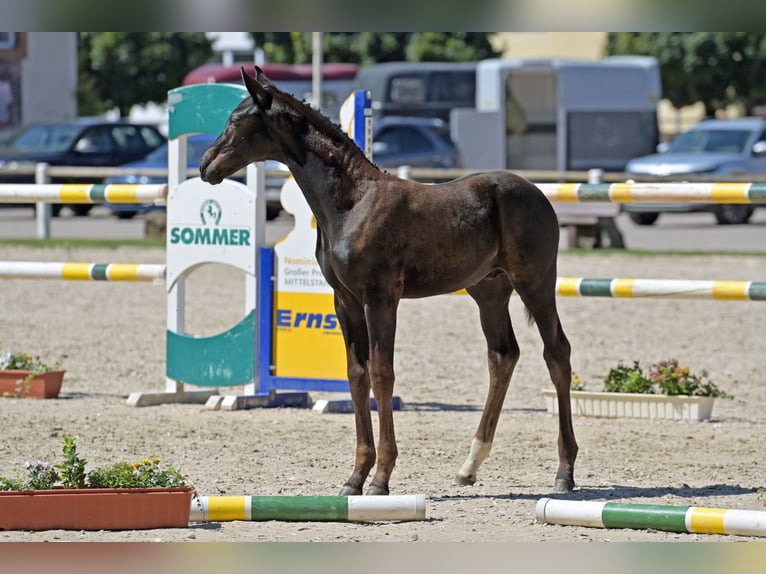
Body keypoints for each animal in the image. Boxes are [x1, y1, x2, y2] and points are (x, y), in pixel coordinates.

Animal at [201, 66, 580, 500]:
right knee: (503, 357)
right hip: (489, 292)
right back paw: (470, 466)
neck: (352, 203)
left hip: (535, 283)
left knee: (557, 354)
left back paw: (565, 471)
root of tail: (539, 193)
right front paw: (355, 477)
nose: (205, 165)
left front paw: (381, 477)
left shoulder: (380, 298)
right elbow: (356, 375)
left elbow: (382, 374)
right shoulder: (345, 301)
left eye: (235, 121)